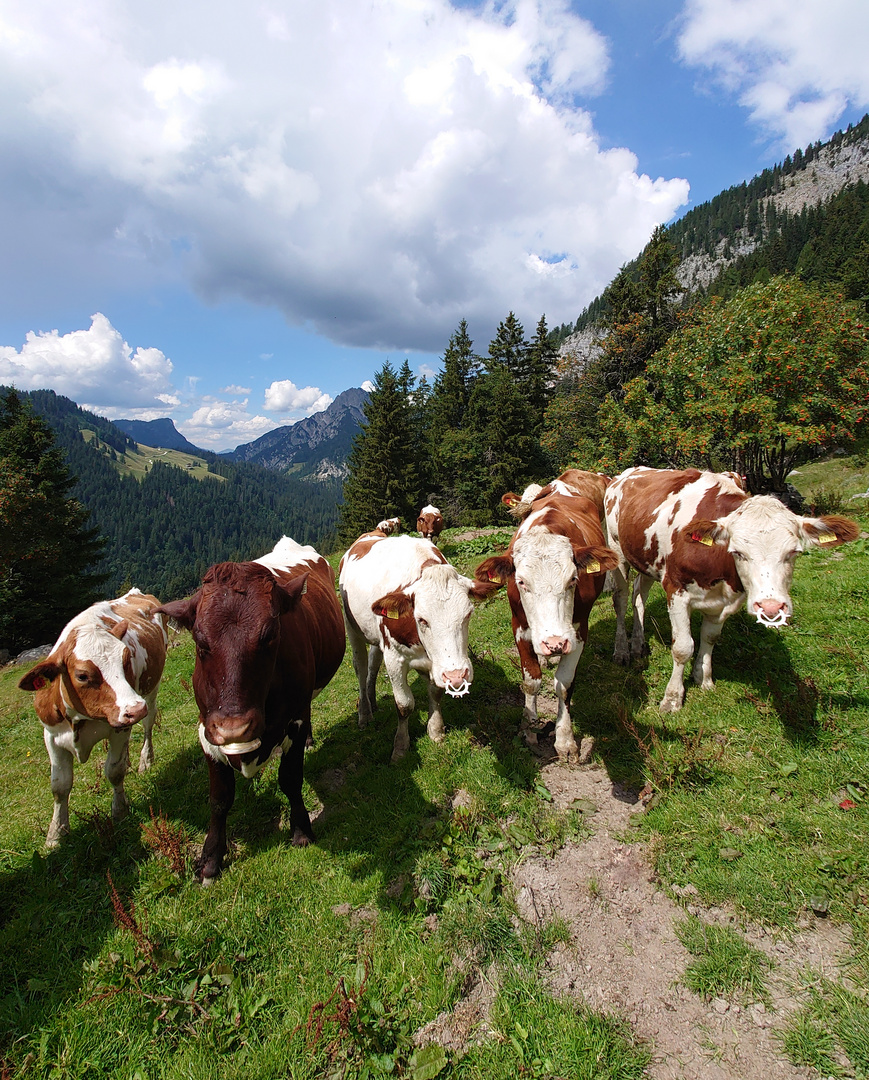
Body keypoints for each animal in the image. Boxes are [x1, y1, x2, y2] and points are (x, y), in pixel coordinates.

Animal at [19, 587, 168, 846]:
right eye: (82, 675)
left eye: (126, 660)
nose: (135, 709)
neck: (79, 719)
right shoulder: (51, 736)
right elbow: (59, 786)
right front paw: (56, 833)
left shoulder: (121, 727)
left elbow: (114, 771)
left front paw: (119, 811)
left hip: (151, 692)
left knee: (148, 727)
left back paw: (145, 760)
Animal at [155, 535, 345, 881]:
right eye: (200, 641)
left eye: (271, 634)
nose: (235, 727)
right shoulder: (207, 730)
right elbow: (219, 799)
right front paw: (210, 860)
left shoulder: (294, 720)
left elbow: (290, 778)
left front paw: (301, 831)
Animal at [341, 535, 500, 764]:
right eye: (422, 619)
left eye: (468, 614)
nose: (457, 675)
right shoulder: (394, 658)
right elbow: (404, 704)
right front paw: (400, 747)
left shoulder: (436, 664)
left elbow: (436, 692)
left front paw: (436, 731)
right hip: (352, 628)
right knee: (361, 668)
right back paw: (364, 713)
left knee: (373, 662)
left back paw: (372, 700)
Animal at [474, 490, 617, 760]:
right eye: (521, 581)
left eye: (573, 579)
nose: (554, 643)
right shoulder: (519, 626)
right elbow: (531, 681)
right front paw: (528, 729)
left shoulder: (578, 631)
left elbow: (564, 684)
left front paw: (565, 740)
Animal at [608, 466, 859, 712]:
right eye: (738, 552)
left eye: (794, 552)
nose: (770, 606)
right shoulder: (676, 590)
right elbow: (682, 647)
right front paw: (672, 698)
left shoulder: (724, 602)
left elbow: (710, 637)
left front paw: (703, 678)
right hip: (617, 553)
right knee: (621, 600)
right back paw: (622, 651)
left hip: (645, 559)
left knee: (639, 596)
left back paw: (638, 644)